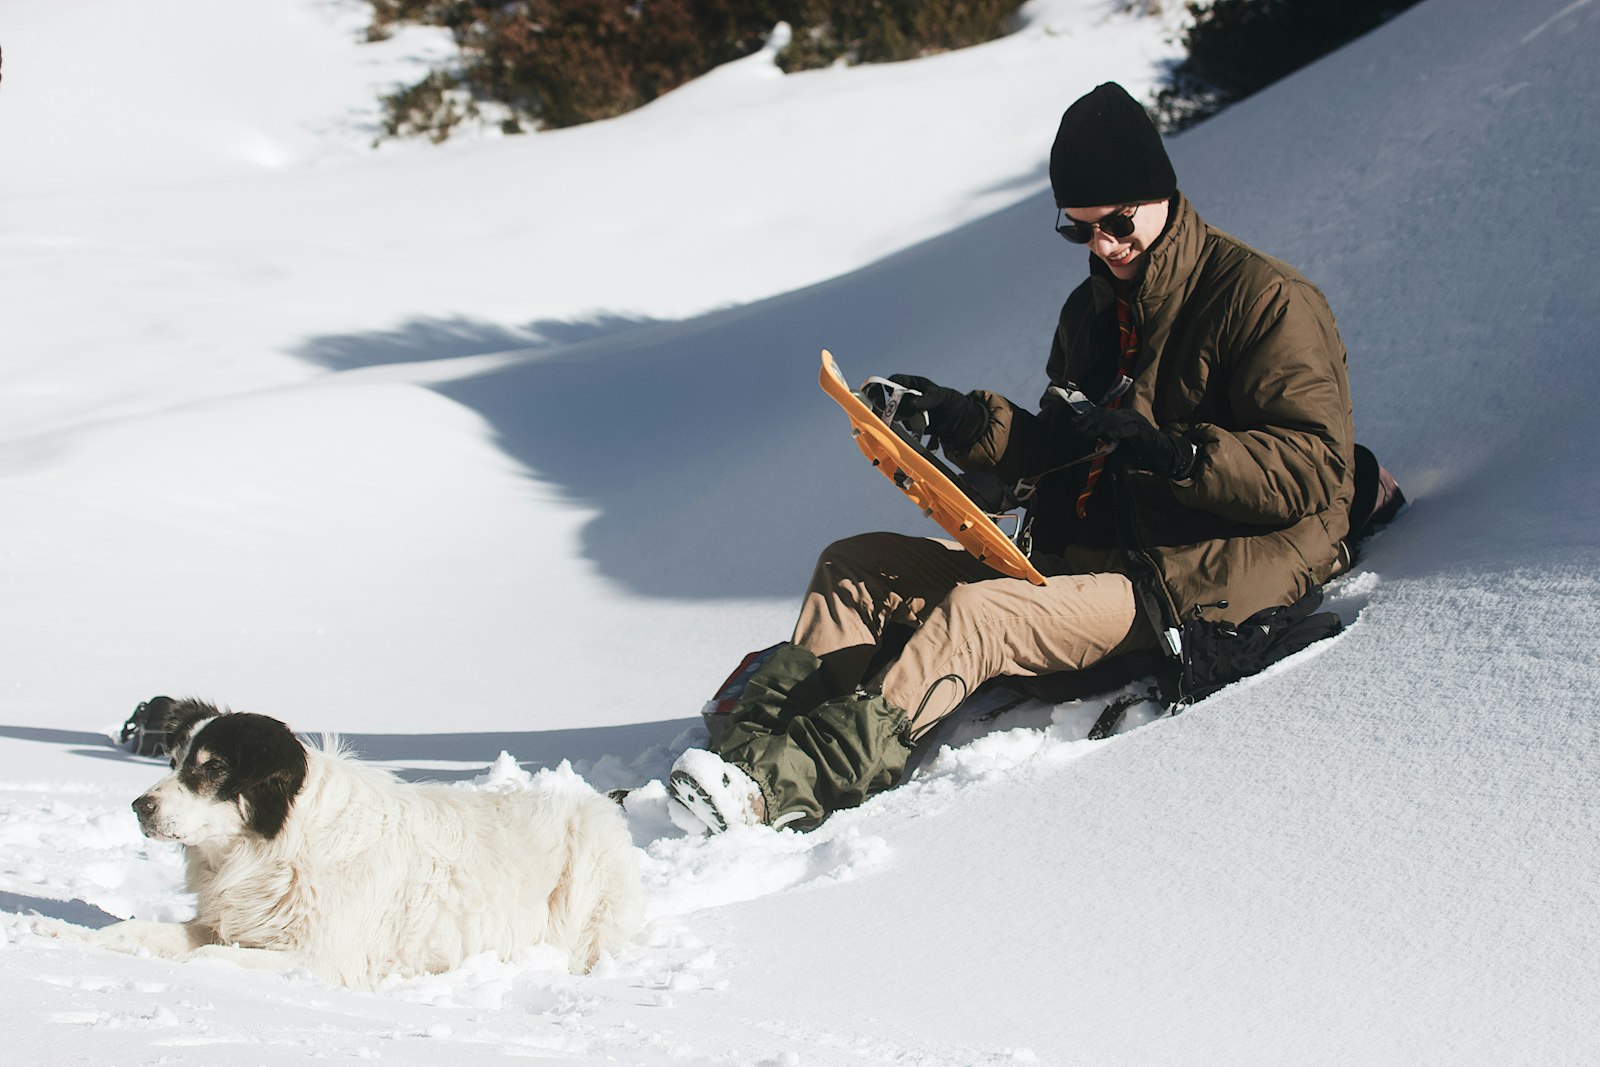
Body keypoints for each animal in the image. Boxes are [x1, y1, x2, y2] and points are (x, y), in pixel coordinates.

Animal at [39, 700, 636, 991]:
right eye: (172, 761)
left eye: (210, 769)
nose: (139, 806)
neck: (277, 848)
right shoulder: (229, 921)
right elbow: (137, 931)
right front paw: (62, 934)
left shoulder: (321, 957)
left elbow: (206, 956)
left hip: (588, 858)